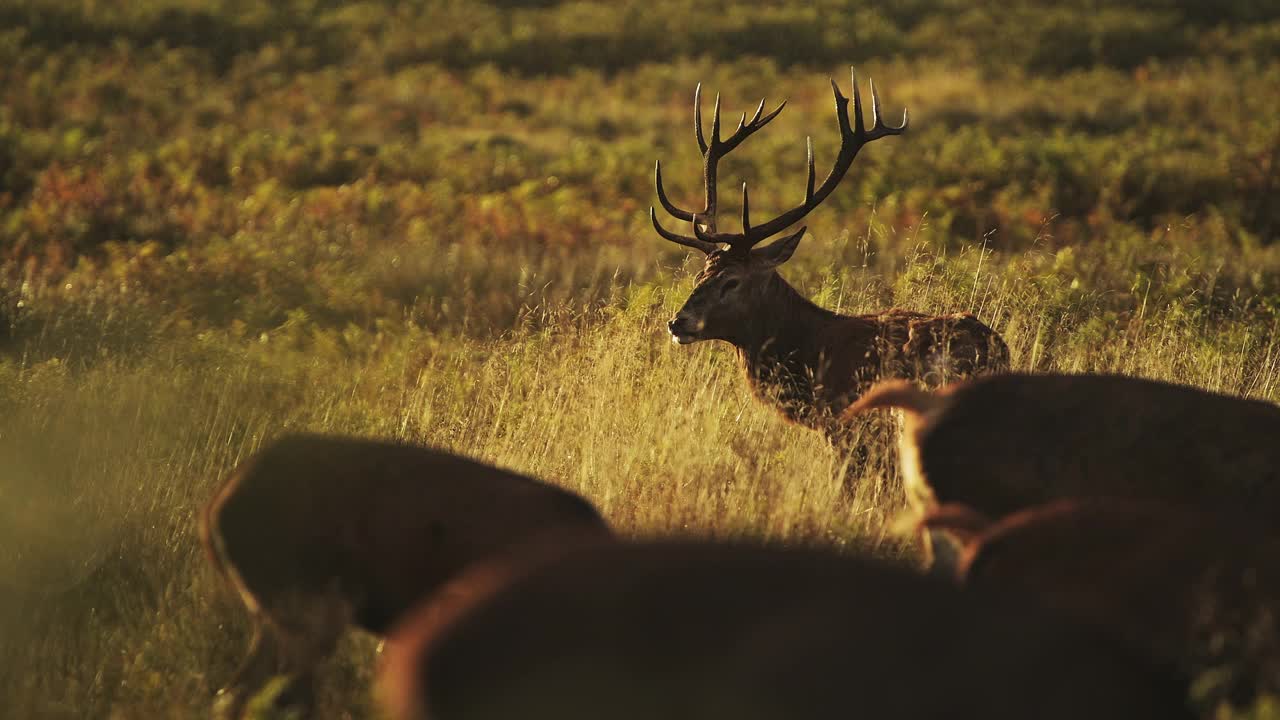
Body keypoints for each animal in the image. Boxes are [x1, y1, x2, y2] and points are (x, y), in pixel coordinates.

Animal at [650, 71, 1008, 443]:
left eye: (732, 281)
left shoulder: (849, 425)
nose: (678, 322)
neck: (808, 354)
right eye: (700, 275)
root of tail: (996, 350)